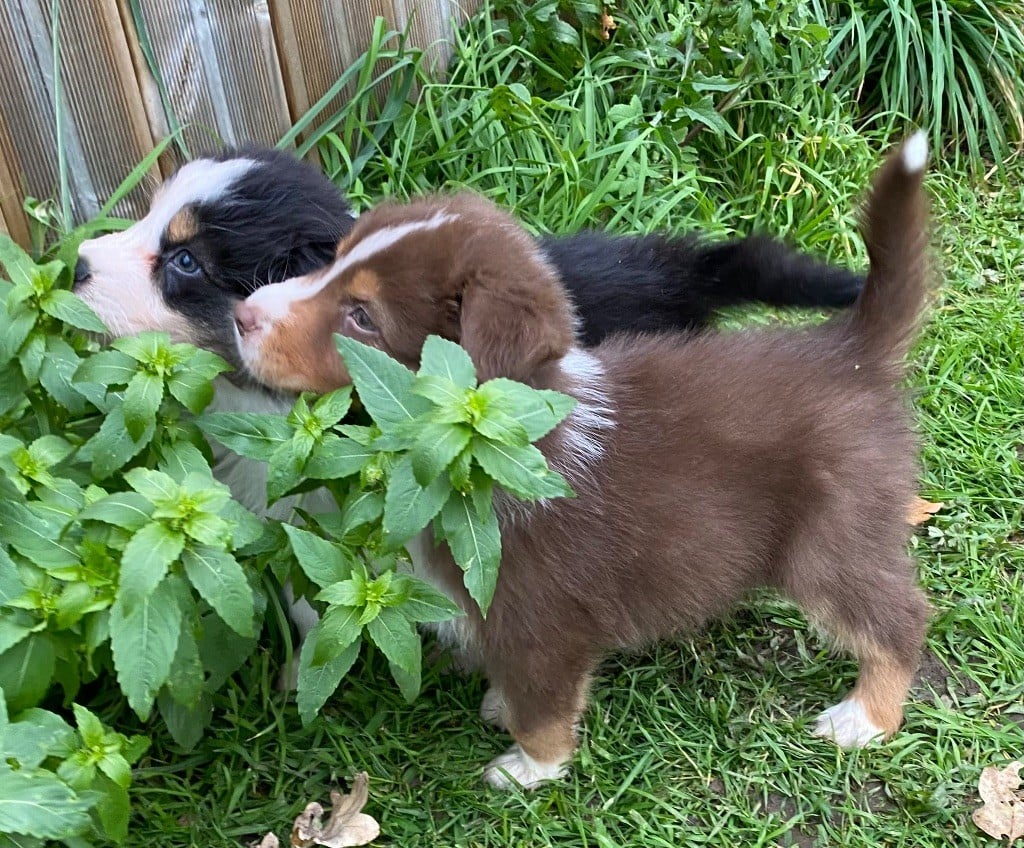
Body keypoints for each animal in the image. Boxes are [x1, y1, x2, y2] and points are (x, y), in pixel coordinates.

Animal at [234, 134, 937, 786]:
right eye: (334, 257)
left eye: (362, 317)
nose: (242, 314)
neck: (484, 446)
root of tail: (849, 351)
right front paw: (500, 706)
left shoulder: (541, 618)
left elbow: (542, 707)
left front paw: (529, 769)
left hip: (829, 540)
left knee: (900, 616)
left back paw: (864, 718)